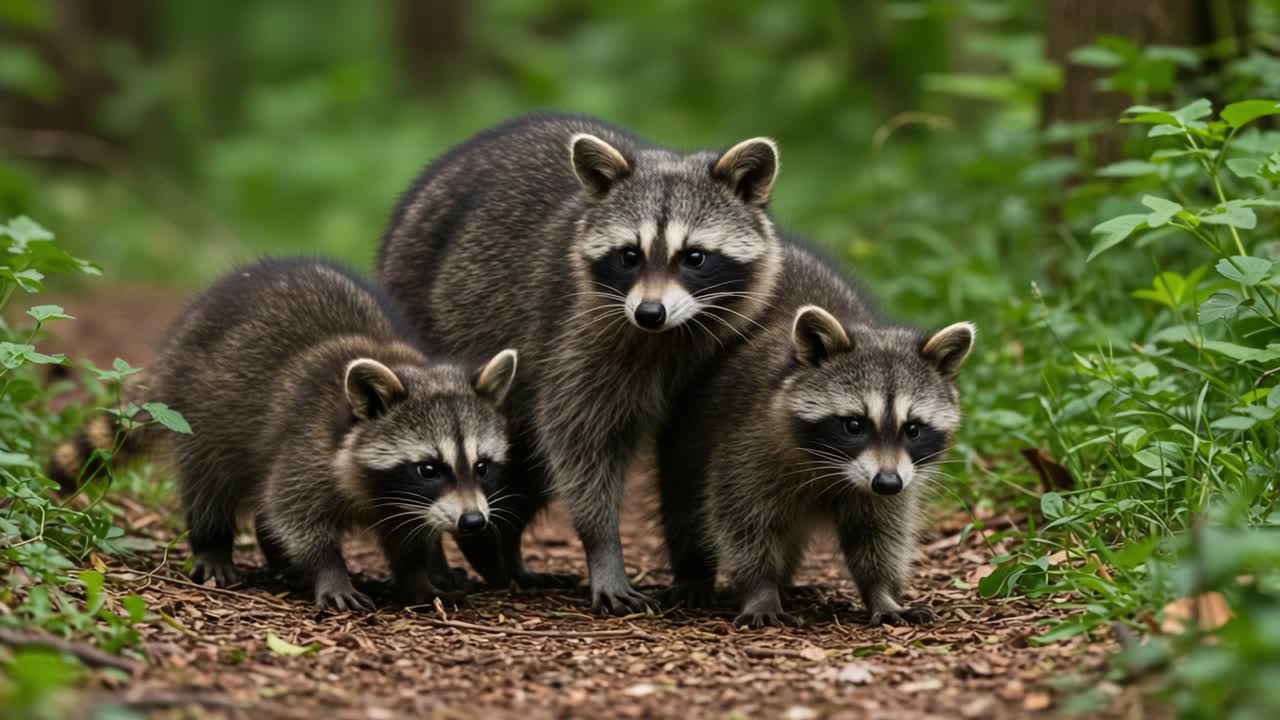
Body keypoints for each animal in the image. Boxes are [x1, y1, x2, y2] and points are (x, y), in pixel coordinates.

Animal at [48, 258, 518, 611]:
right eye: (429, 468)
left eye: (482, 466)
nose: (473, 521)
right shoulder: (307, 445)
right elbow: (294, 512)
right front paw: (329, 570)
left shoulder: (407, 503)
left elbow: (408, 537)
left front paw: (416, 576)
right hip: (198, 408)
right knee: (210, 481)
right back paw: (212, 542)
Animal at [378, 113, 783, 613]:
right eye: (629, 255)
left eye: (694, 257)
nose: (649, 312)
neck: (667, 336)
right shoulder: (577, 338)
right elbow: (581, 441)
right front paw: (603, 547)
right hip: (425, 303)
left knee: (524, 470)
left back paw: (501, 558)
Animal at [657, 243, 974, 627]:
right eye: (854, 425)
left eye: (912, 429)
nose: (886, 483)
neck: (835, 471)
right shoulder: (746, 441)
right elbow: (744, 521)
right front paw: (760, 589)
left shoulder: (899, 475)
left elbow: (880, 532)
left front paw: (882, 592)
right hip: (687, 427)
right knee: (684, 498)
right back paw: (694, 572)